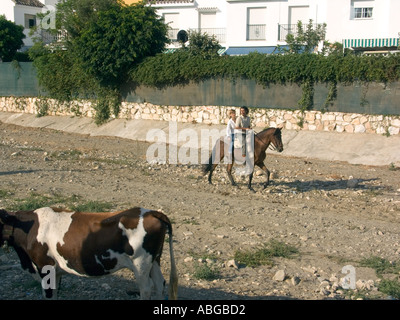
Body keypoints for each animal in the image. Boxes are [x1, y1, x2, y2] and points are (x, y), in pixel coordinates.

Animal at [0, 206, 178, 298]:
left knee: (146, 287)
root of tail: (151, 212)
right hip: (154, 260)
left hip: (141, 262)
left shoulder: (45, 266)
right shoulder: (56, 271)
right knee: (159, 283)